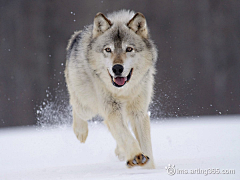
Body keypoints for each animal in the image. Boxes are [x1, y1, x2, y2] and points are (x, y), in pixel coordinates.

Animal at [64, 9, 158, 169]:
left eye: (129, 49)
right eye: (108, 49)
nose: (117, 68)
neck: (124, 92)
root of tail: (76, 36)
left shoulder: (139, 112)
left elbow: (144, 145)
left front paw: (148, 167)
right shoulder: (112, 109)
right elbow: (126, 136)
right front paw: (136, 156)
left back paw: (121, 152)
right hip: (87, 106)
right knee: (76, 106)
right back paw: (80, 131)